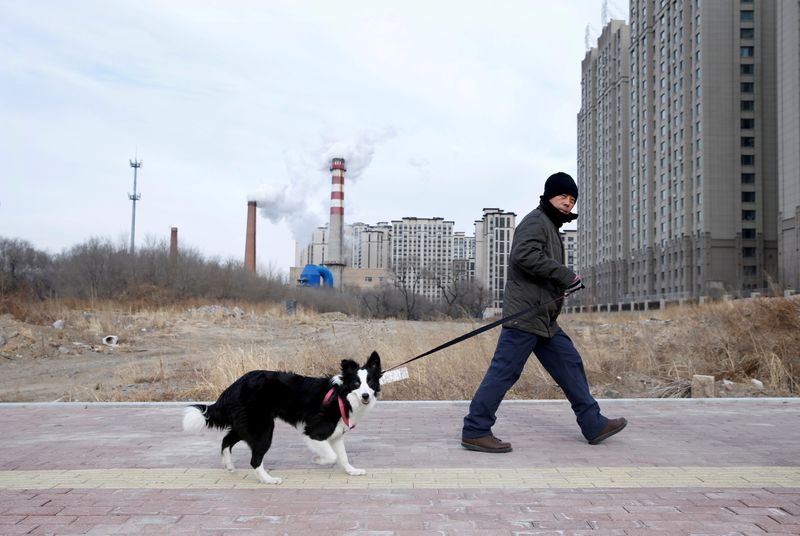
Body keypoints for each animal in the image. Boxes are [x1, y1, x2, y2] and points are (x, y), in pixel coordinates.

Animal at [184, 352, 382, 486]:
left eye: (370, 382)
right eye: (356, 383)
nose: (366, 395)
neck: (342, 396)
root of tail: (235, 384)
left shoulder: (336, 433)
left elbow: (343, 456)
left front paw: (352, 471)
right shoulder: (314, 431)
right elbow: (332, 456)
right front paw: (318, 460)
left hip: (247, 425)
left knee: (226, 439)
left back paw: (230, 465)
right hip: (263, 429)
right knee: (254, 459)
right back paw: (268, 480)